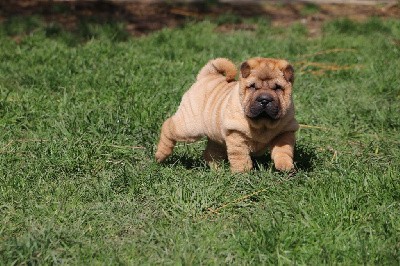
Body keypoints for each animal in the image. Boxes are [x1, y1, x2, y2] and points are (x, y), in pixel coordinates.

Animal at [155, 57, 298, 171]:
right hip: (190, 127)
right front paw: (242, 174)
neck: (262, 124)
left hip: (215, 135)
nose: (264, 99)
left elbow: (283, 151)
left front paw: (285, 166)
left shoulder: (285, 132)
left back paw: (217, 170)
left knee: (211, 153)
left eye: (278, 88)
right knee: (168, 126)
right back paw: (160, 155)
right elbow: (240, 157)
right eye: (252, 86)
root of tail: (206, 76)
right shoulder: (236, 135)